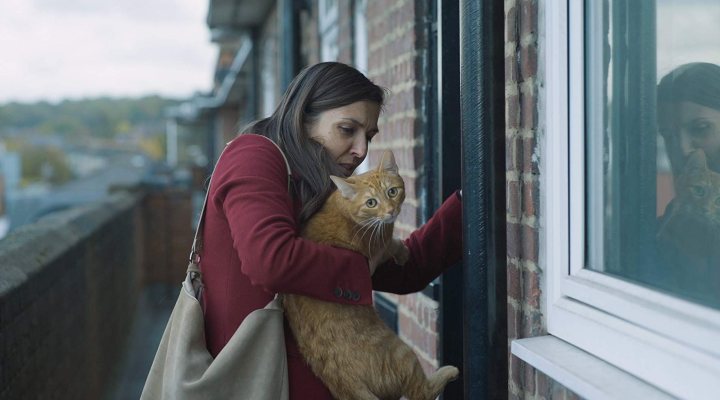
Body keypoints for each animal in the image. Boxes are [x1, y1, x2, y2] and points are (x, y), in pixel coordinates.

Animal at [278, 150, 458, 400]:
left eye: (392, 192)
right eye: (371, 202)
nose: (390, 211)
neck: (345, 207)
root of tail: (345, 383)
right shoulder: (376, 246)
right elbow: (391, 244)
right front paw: (402, 251)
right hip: (403, 353)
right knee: (421, 392)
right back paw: (448, 371)